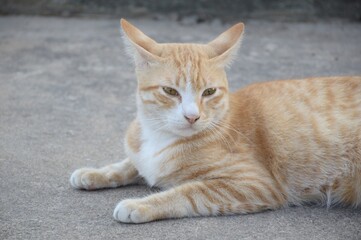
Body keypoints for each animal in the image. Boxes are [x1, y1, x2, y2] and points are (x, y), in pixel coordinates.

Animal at [69, 18, 360, 223]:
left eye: (209, 92)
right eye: (170, 91)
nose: (192, 116)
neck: (159, 136)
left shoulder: (254, 183)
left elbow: (188, 192)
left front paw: (139, 204)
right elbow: (128, 165)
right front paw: (94, 173)